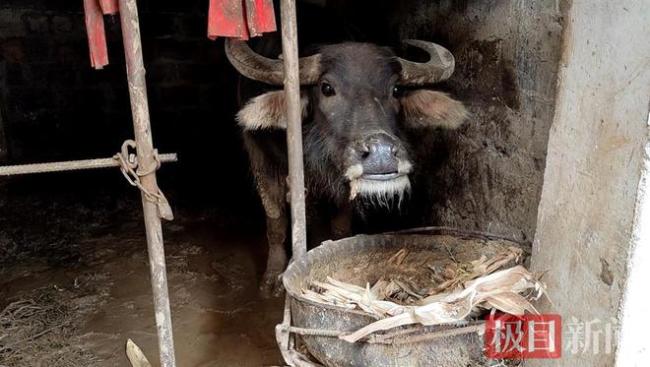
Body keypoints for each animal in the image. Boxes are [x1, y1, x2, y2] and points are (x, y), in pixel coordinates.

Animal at [224, 38, 466, 294]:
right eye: (327, 88)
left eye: (396, 90)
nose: (381, 153)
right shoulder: (261, 159)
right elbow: (276, 222)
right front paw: (273, 278)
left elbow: (339, 226)